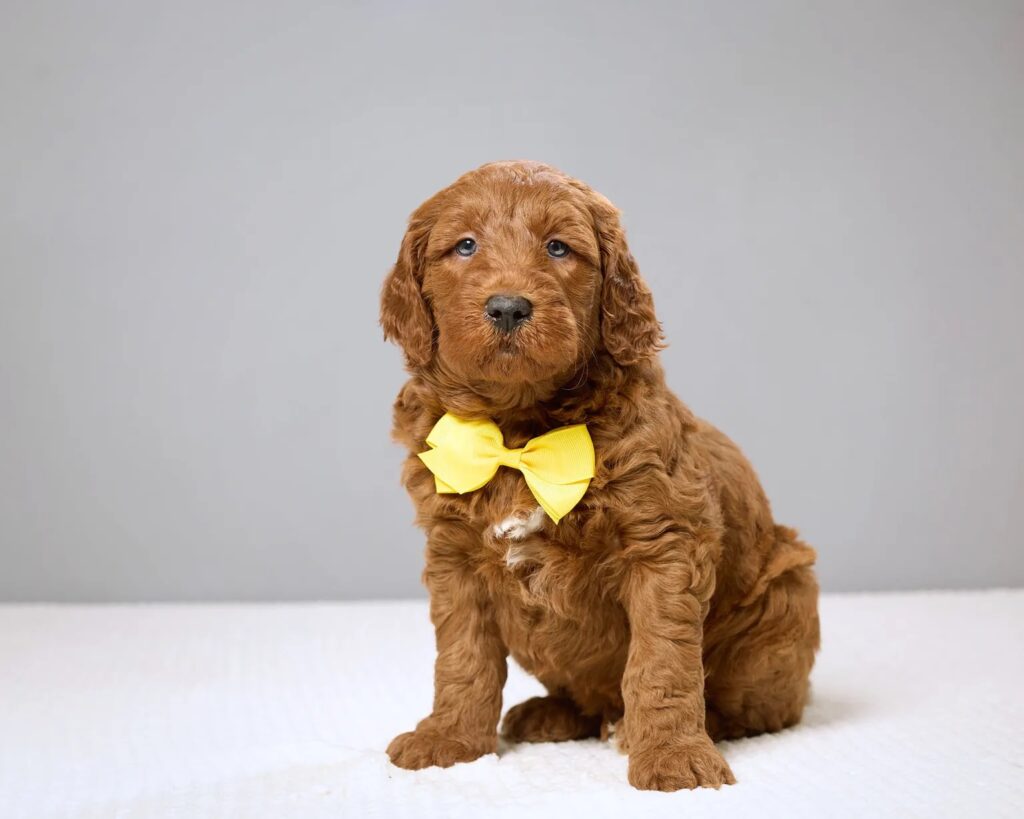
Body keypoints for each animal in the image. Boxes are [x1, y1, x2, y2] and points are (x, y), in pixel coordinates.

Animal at [380, 161, 819, 794]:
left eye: (558, 247)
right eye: (465, 245)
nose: (508, 307)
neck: (520, 435)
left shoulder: (664, 546)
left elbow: (661, 661)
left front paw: (672, 755)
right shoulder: (453, 555)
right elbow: (463, 656)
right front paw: (450, 739)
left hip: (787, 596)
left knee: (760, 706)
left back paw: (661, 726)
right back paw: (551, 713)